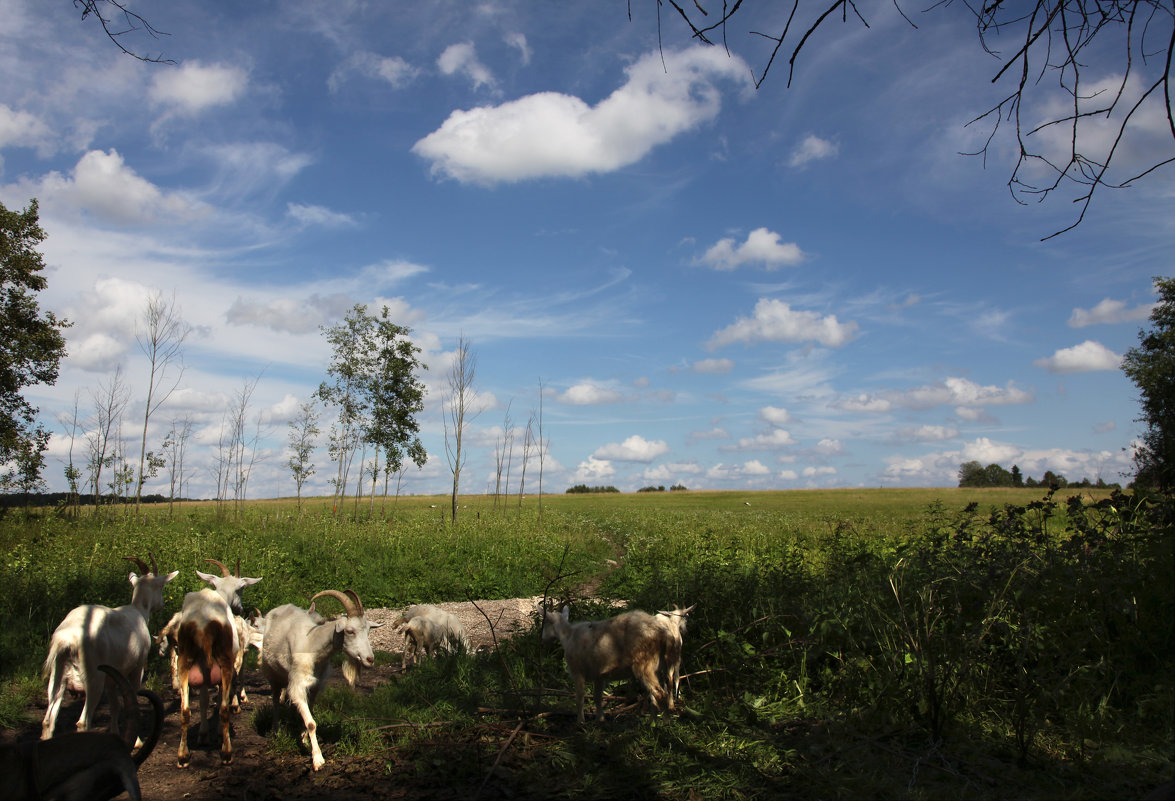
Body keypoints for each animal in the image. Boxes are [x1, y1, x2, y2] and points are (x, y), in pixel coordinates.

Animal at [41, 554, 176, 737]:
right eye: (161, 586)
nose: (161, 605)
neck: (139, 611)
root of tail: (68, 640)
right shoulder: (138, 665)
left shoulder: (112, 676)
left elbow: (115, 706)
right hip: (93, 677)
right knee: (83, 722)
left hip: (57, 675)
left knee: (48, 719)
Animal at [259, 587, 383, 765]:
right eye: (350, 631)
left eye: (368, 631)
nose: (369, 659)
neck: (312, 644)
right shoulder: (297, 684)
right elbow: (311, 723)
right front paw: (318, 759)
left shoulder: (316, 686)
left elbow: (309, 714)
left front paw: (304, 739)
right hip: (271, 673)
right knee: (275, 700)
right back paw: (275, 731)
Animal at [540, 601, 672, 718]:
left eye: (545, 622)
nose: (542, 638)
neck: (568, 636)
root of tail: (661, 631)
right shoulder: (599, 675)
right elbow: (597, 697)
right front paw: (600, 719)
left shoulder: (577, 671)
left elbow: (580, 698)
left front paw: (580, 722)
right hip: (659, 665)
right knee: (659, 694)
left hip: (644, 663)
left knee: (659, 694)